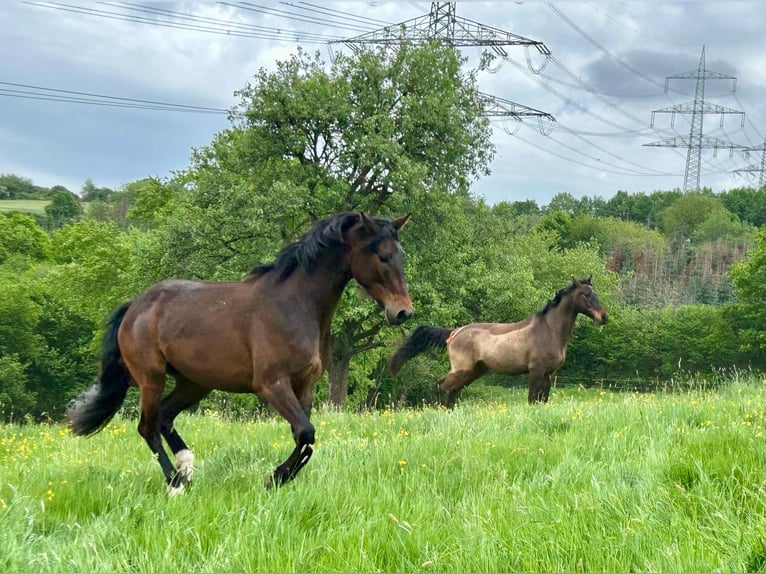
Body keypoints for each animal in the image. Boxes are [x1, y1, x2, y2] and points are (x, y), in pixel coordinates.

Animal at [67, 211, 413, 494]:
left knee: (164, 419)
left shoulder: (304, 385)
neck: (295, 305)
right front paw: (275, 477)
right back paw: (176, 484)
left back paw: (187, 468)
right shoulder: (271, 384)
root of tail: (135, 306)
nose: (403, 312)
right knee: (147, 427)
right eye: (383, 257)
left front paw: (278, 479)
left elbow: (304, 438)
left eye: (401, 256)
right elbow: (306, 432)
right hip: (151, 378)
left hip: (194, 383)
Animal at [389, 276, 607, 406]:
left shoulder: (550, 374)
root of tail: (455, 333)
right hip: (462, 370)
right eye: (586, 295)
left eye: (595, 293)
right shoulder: (536, 371)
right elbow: (532, 398)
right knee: (441, 386)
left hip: (473, 372)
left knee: (452, 390)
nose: (603, 317)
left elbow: (542, 400)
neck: (549, 330)